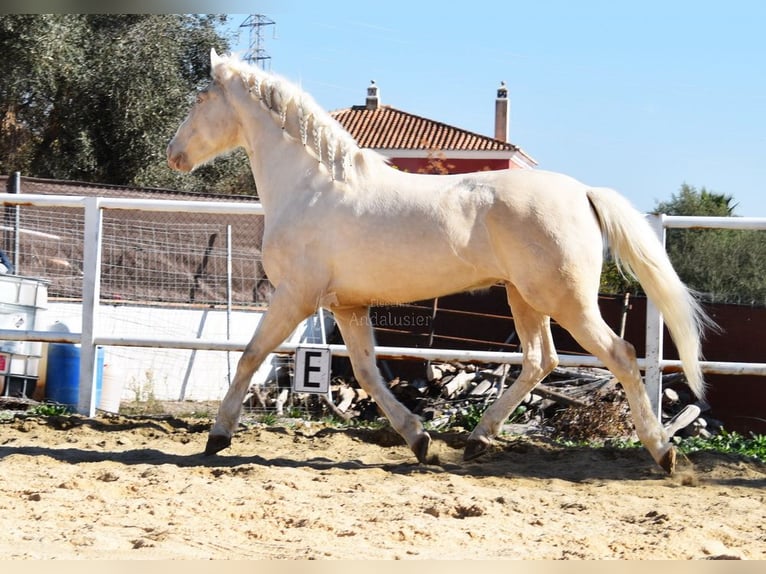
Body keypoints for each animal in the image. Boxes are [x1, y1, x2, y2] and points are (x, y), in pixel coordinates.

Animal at [170, 49, 712, 474]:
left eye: (200, 100)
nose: (174, 154)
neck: (312, 186)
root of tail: (581, 191)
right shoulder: (347, 306)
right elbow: (367, 372)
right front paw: (419, 439)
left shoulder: (296, 297)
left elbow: (249, 356)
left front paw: (217, 438)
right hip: (525, 297)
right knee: (541, 360)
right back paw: (476, 440)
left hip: (566, 301)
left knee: (619, 354)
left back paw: (663, 453)